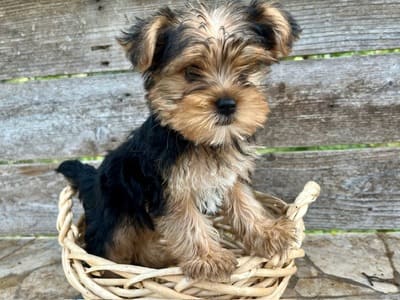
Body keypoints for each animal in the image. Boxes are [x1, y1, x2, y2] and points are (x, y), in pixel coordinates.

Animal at [57, 0, 300, 282]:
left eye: (245, 69)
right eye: (191, 72)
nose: (227, 104)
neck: (201, 140)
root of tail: (93, 179)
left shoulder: (231, 176)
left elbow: (245, 202)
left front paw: (268, 231)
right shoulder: (170, 189)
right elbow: (187, 221)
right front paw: (209, 258)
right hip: (115, 218)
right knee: (107, 249)